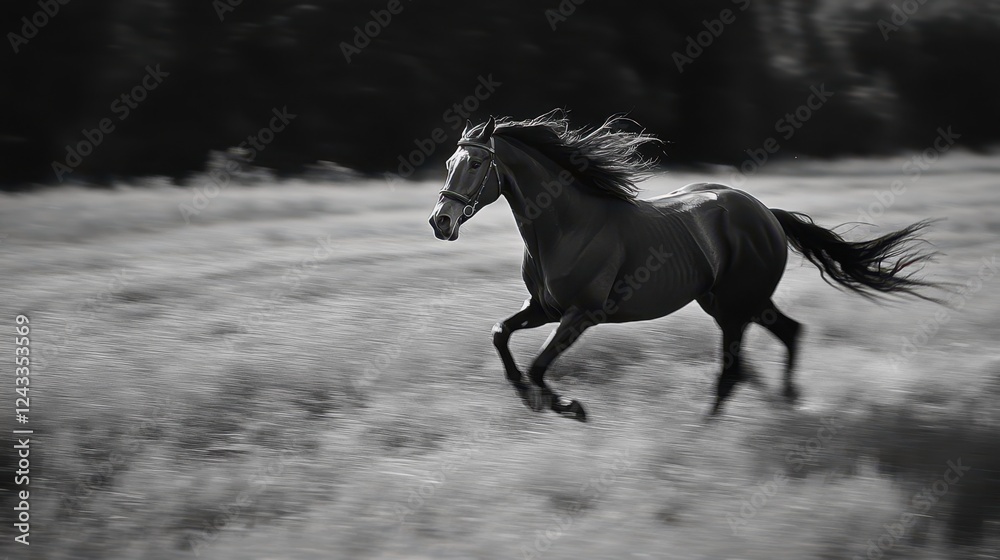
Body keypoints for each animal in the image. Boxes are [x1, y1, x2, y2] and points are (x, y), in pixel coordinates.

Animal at [428, 110, 937, 422]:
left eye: (474, 164)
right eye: (450, 161)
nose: (440, 221)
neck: (567, 226)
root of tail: (766, 214)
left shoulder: (582, 314)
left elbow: (537, 366)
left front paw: (568, 406)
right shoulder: (544, 308)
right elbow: (500, 335)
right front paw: (527, 395)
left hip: (735, 308)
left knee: (732, 370)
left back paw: (705, 431)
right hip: (732, 302)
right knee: (786, 336)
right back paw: (785, 401)